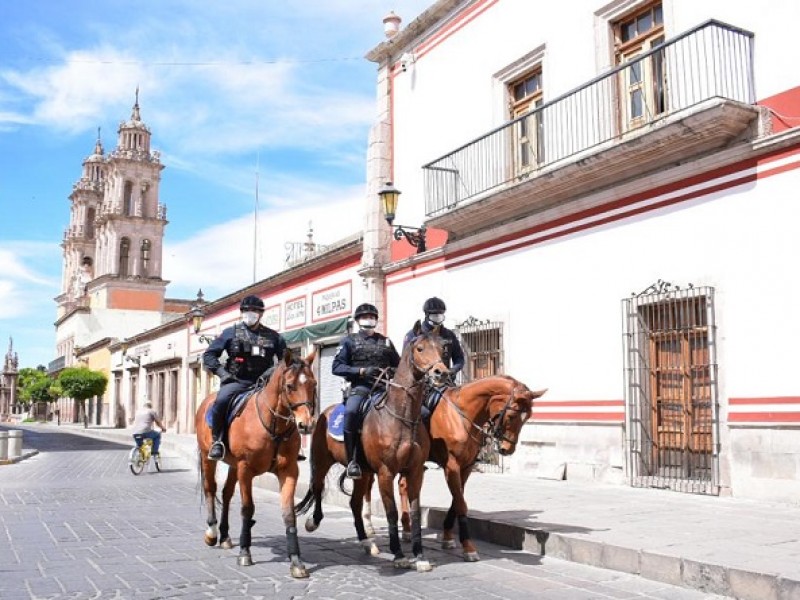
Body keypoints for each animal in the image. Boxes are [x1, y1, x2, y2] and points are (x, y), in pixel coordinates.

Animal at [195, 350, 318, 580]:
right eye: (290, 386)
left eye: (313, 384)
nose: (306, 424)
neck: (274, 425)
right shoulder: (246, 469)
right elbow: (247, 509)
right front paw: (245, 552)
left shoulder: (289, 471)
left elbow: (288, 513)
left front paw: (296, 561)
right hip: (208, 457)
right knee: (210, 489)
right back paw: (212, 533)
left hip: (233, 465)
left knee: (226, 494)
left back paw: (224, 535)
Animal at [296, 324, 450, 572]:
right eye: (420, 348)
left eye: (443, 348)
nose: (440, 373)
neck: (401, 417)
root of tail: (323, 413)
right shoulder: (386, 473)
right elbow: (392, 512)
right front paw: (399, 555)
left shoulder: (415, 472)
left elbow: (415, 512)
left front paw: (419, 555)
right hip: (321, 462)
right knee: (317, 487)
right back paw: (313, 521)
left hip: (364, 473)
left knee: (354, 502)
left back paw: (366, 542)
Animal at [360, 376, 544, 564]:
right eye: (512, 415)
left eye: (528, 417)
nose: (507, 449)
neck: (461, 416)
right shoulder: (452, 465)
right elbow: (461, 503)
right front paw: (468, 547)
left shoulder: (466, 467)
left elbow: (457, 500)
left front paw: (448, 537)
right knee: (368, 487)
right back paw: (370, 529)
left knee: (403, 486)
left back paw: (406, 529)